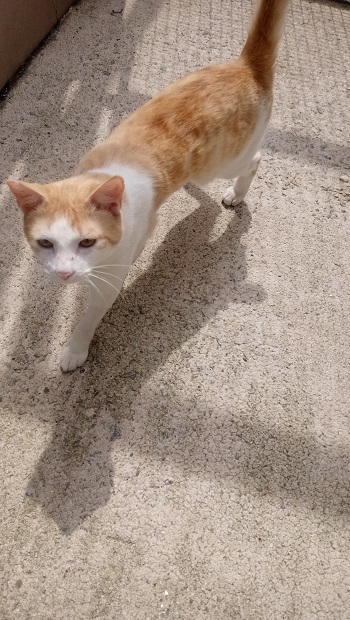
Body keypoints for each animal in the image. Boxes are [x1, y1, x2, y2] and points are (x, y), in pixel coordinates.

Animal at [6, 0, 290, 370]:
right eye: (45, 243)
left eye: (87, 242)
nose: (65, 274)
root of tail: (246, 66)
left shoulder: (111, 275)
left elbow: (90, 315)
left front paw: (75, 349)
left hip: (223, 165)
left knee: (254, 160)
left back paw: (236, 194)